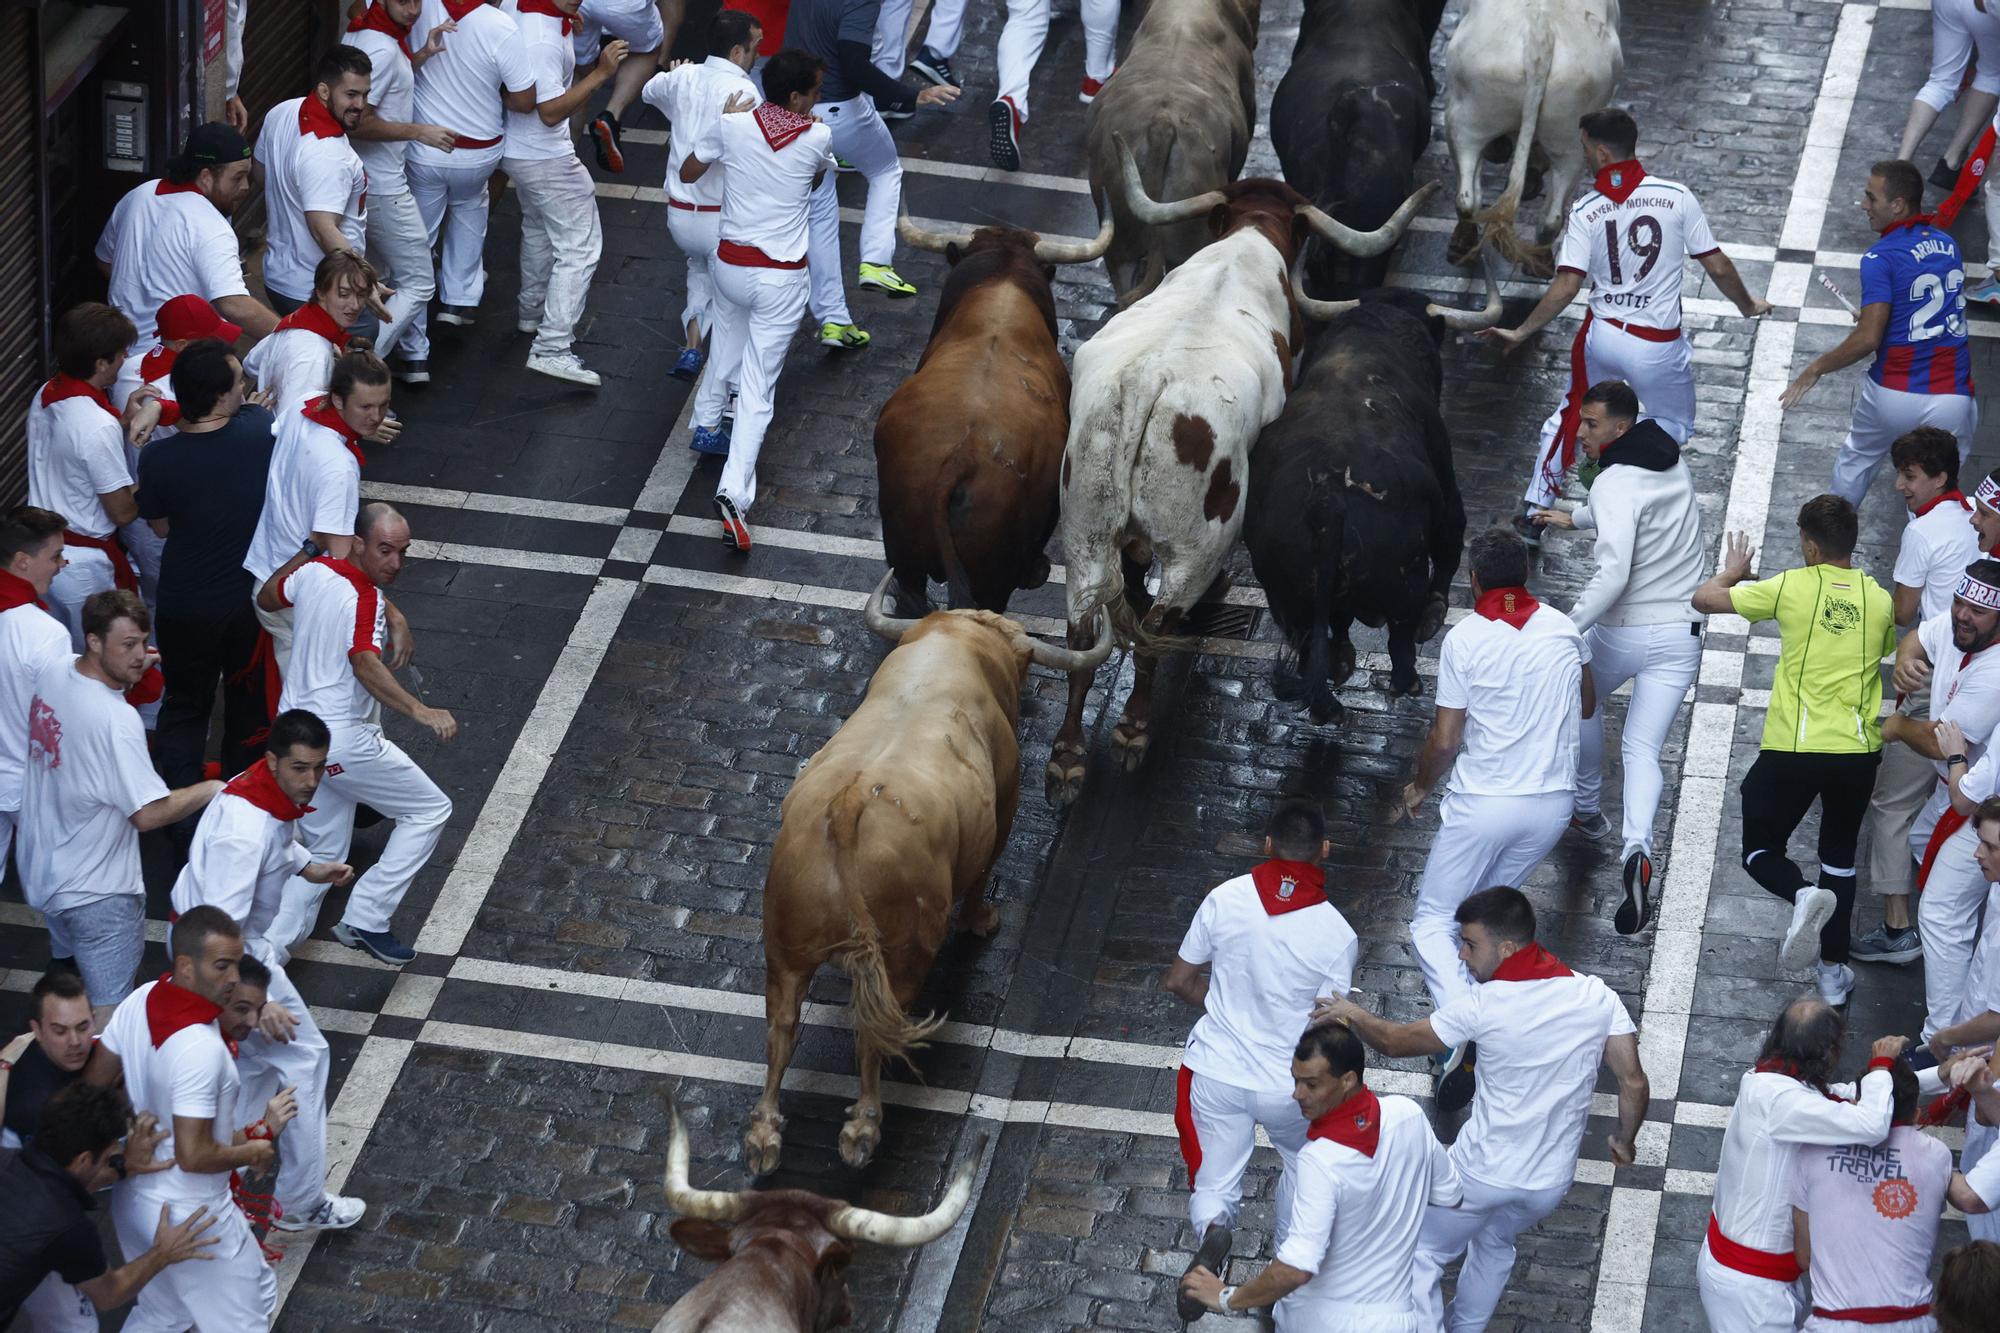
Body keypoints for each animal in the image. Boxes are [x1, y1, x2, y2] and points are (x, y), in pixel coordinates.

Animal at [748, 580, 1120, 1176]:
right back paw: (863, 1129)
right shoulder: (1006, 801)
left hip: (784, 948)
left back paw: (764, 1136)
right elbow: (985, 870)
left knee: (781, 1029)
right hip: (903, 954)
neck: (951, 648)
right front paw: (981, 921)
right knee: (872, 1035)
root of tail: (850, 805)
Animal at [1048, 137, 1440, 800]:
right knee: (1155, 626)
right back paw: (1133, 728)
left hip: (1083, 531)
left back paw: (1067, 757)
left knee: (1083, 635)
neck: (1246, 242)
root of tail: (1148, 383)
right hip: (1198, 543)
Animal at [1240, 270, 1504, 720]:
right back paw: (1406, 679)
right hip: (1404, 582)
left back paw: (1338, 671)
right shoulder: (1444, 469)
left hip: (1284, 597)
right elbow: (1452, 538)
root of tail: (1327, 501)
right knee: (1400, 637)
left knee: (1314, 640)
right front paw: (1436, 612)